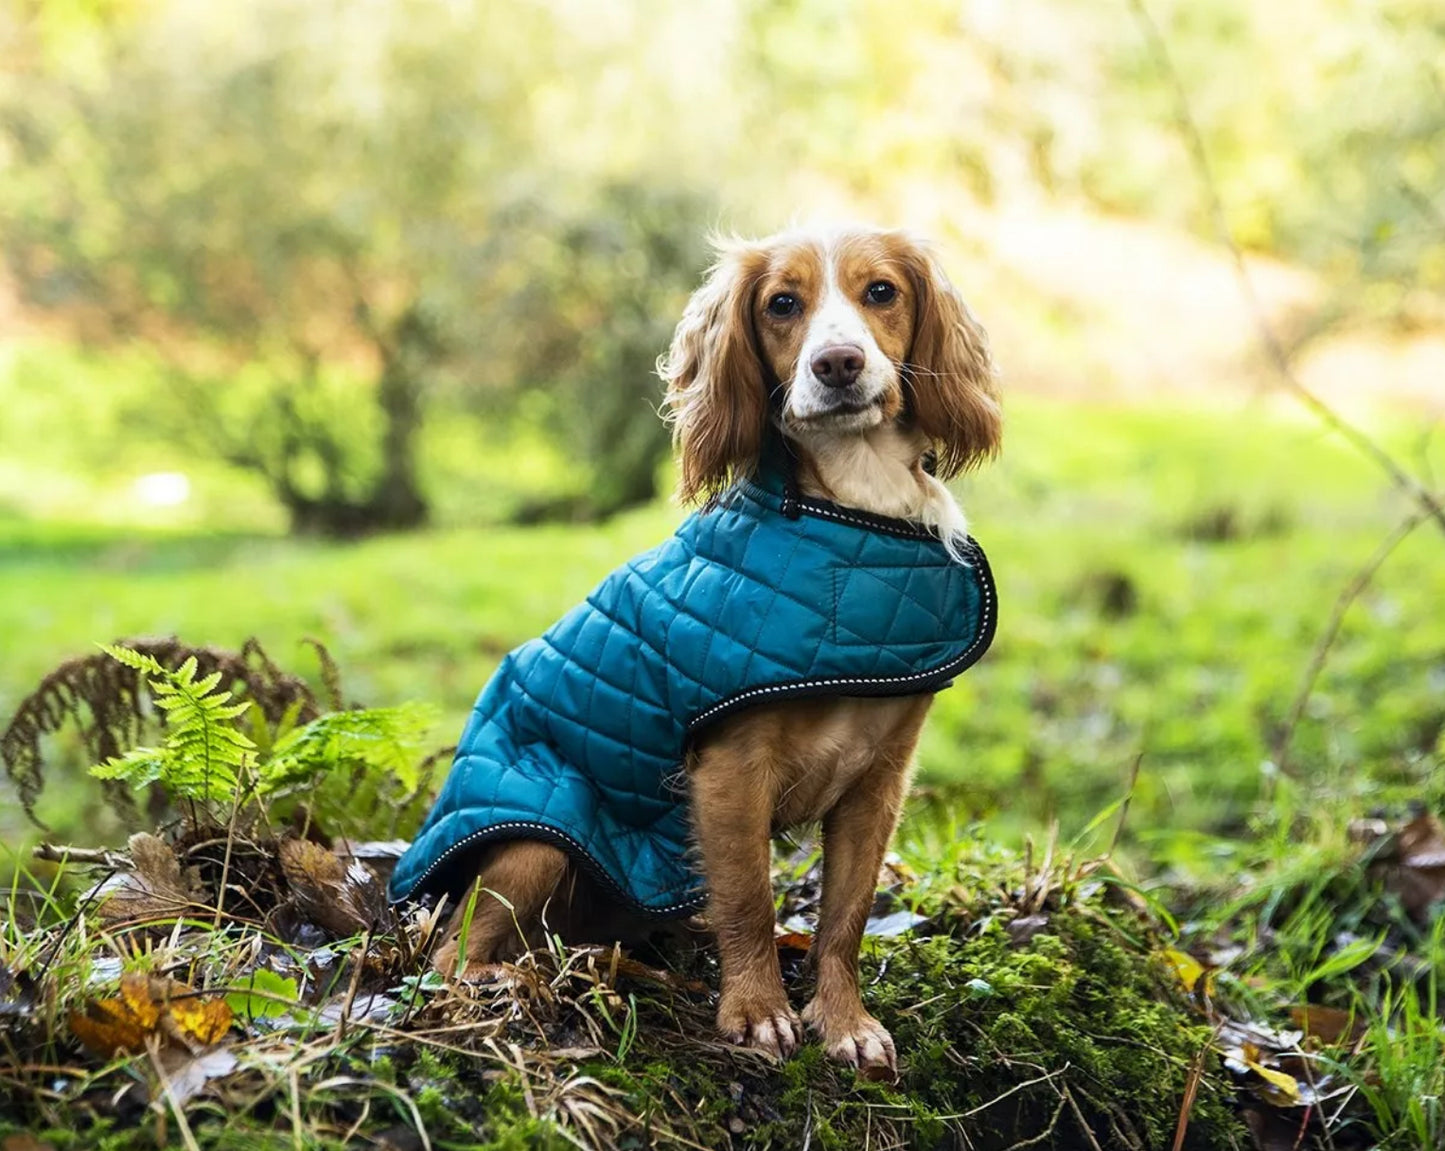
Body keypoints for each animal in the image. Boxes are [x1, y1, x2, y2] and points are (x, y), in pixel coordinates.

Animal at [395, 222, 1005, 1080]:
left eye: (880, 291)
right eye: (781, 304)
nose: (837, 364)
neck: (850, 519)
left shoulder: (878, 781)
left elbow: (844, 918)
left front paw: (842, 1019)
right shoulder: (727, 769)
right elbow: (748, 897)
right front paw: (755, 1010)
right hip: (532, 838)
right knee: (452, 953)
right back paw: (513, 982)